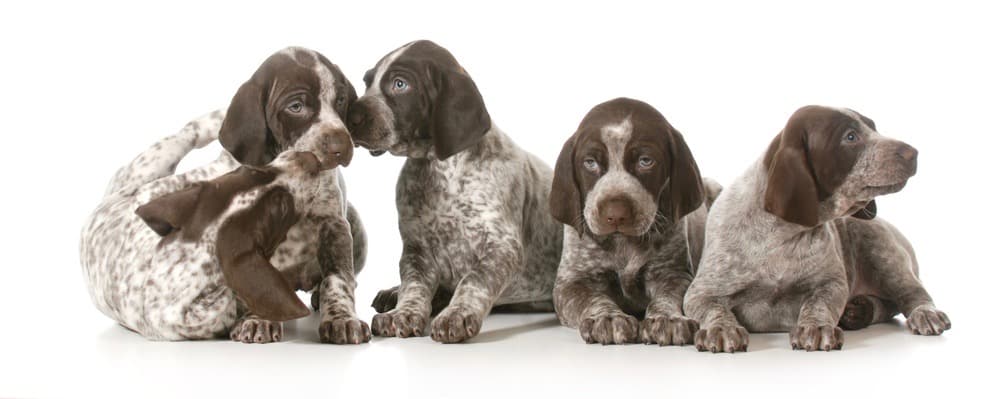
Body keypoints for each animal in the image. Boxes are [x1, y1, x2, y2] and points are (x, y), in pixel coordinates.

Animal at [78, 48, 370, 346]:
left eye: (340, 100)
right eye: (296, 106)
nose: (342, 147)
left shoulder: (334, 224)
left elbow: (338, 278)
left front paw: (341, 318)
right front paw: (258, 319)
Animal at [346, 39, 564, 344]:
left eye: (400, 84)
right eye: (367, 82)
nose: (349, 116)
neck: (438, 169)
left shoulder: (502, 246)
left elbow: (474, 280)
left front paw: (457, 315)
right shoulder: (416, 249)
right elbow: (414, 286)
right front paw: (404, 313)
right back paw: (394, 293)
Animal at [552, 98, 724, 346]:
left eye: (645, 161)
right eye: (590, 163)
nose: (615, 214)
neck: (623, 243)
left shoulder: (672, 273)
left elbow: (666, 297)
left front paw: (667, 319)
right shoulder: (571, 283)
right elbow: (592, 299)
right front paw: (607, 318)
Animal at [688, 105, 952, 354]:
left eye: (874, 128)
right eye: (850, 137)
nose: (913, 153)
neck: (781, 236)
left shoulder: (831, 283)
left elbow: (818, 303)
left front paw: (815, 327)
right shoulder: (701, 292)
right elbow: (714, 308)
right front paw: (721, 329)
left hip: (880, 250)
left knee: (912, 294)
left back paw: (923, 313)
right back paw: (860, 311)